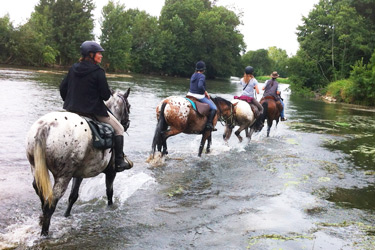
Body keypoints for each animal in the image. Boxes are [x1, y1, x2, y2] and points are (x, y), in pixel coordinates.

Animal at [26, 88, 132, 236]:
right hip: (63, 177)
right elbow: (109, 192)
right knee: (50, 205)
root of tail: (46, 127)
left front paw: (66, 215)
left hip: (36, 168)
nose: (127, 124)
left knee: (42, 194)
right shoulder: (111, 172)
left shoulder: (79, 174)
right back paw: (45, 233)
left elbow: (73, 196)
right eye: (129, 106)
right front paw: (110, 208)